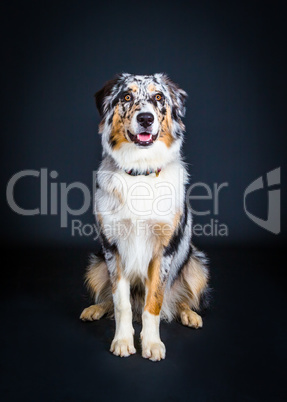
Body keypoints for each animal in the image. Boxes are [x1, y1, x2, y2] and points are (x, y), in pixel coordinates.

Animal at [80, 72, 210, 362]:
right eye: (127, 96)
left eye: (158, 97)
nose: (146, 118)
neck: (140, 171)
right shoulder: (113, 247)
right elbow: (120, 303)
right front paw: (122, 341)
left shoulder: (164, 251)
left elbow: (155, 303)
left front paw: (151, 343)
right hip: (95, 264)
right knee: (107, 300)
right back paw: (94, 310)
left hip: (196, 264)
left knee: (178, 300)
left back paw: (189, 315)